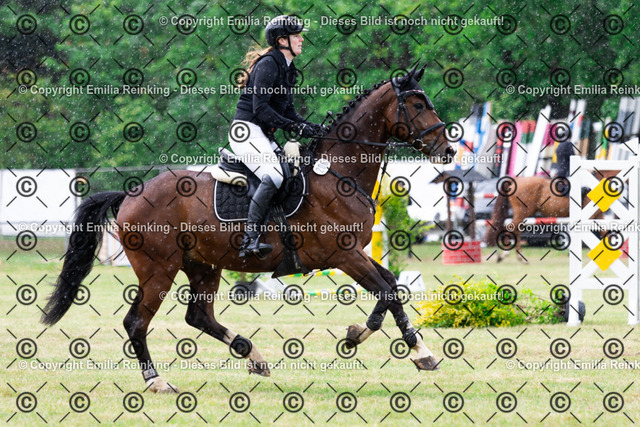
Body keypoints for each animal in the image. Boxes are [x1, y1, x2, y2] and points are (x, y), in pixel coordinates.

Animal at [41, 65, 456, 393]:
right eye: (418, 105)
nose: (448, 150)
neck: (338, 174)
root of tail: (129, 193)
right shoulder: (344, 255)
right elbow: (388, 292)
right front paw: (395, 346)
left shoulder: (354, 254)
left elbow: (392, 287)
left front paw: (386, 341)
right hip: (159, 269)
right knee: (137, 322)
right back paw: (157, 381)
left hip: (202, 265)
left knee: (199, 316)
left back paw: (252, 355)